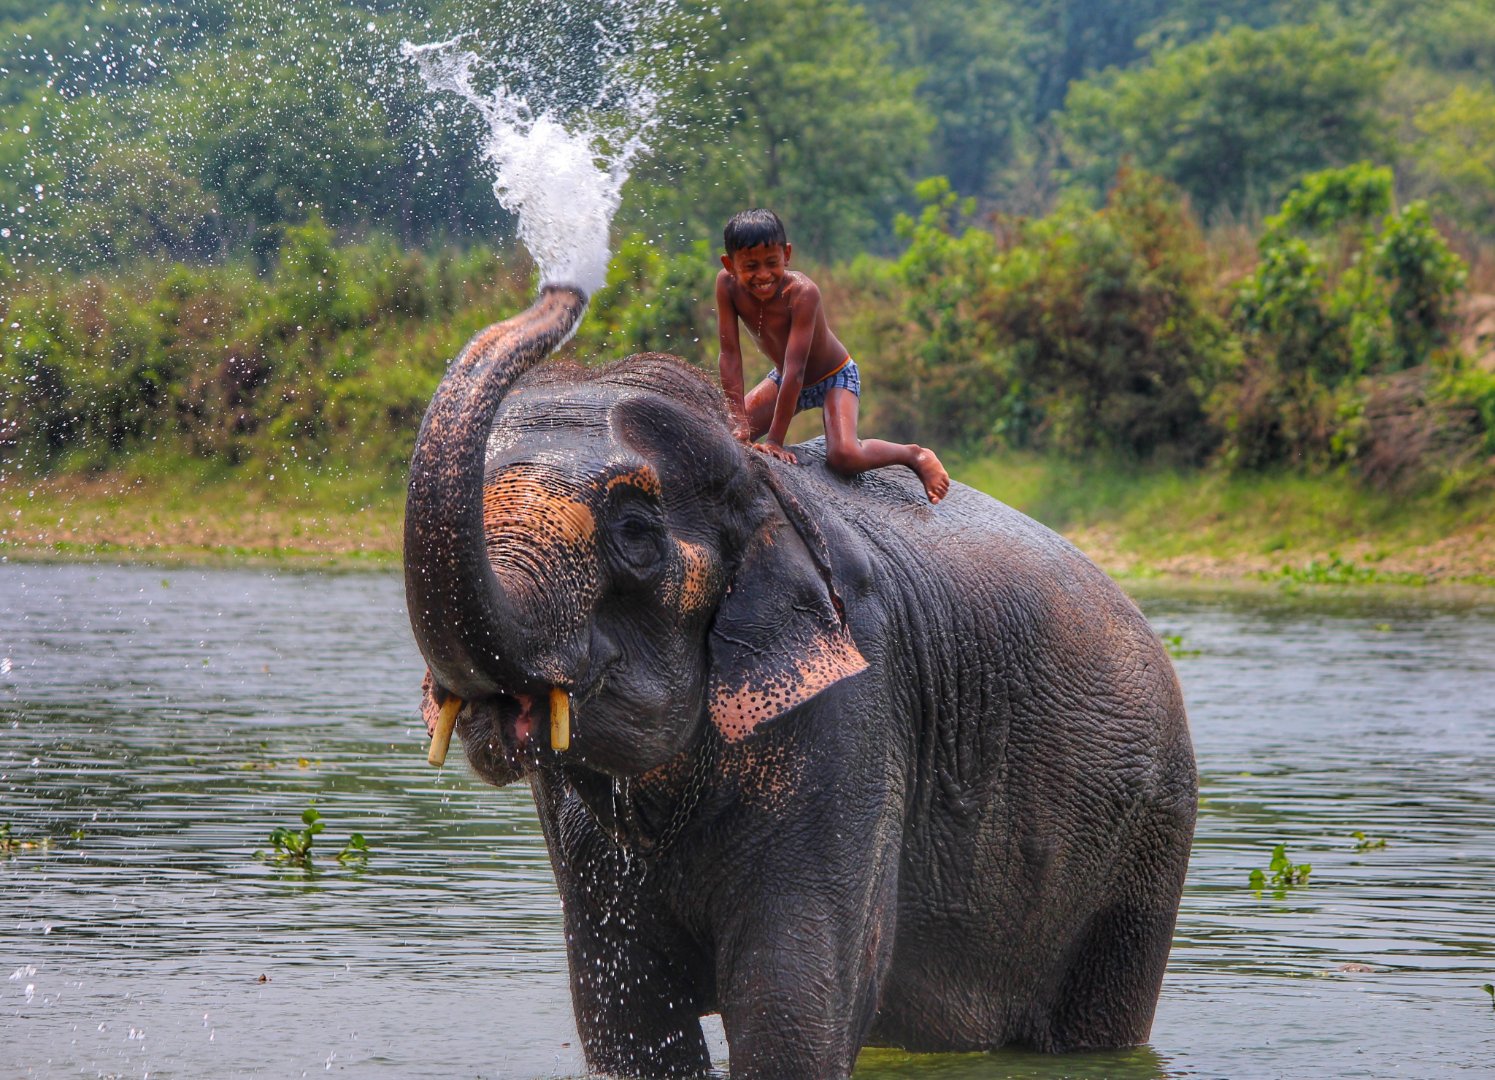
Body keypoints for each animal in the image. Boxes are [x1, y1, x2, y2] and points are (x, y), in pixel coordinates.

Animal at [404, 285, 1197, 1079]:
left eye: (634, 533)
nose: (559, 290)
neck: (761, 491)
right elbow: (628, 1019)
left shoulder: (858, 712)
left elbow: (789, 1011)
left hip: (1143, 849)